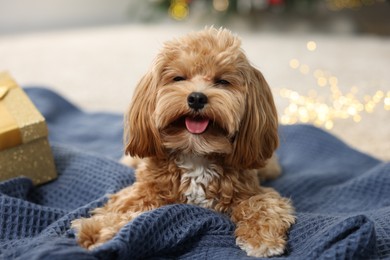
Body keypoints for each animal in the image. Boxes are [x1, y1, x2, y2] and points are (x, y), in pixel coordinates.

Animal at [71, 27, 294, 256]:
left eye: (222, 81)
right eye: (178, 78)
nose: (196, 98)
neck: (195, 153)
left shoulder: (253, 192)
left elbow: (262, 205)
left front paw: (262, 239)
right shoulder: (143, 192)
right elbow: (126, 208)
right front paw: (96, 230)